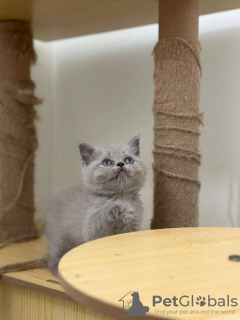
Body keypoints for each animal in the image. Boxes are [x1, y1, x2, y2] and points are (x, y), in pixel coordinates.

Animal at [43, 135, 145, 276]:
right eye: (106, 162)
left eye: (129, 160)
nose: (121, 163)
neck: (120, 195)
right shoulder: (90, 229)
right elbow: (100, 218)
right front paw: (115, 207)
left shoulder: (132, 227)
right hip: (59, 237)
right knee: (53, 258)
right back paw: (58, 273)